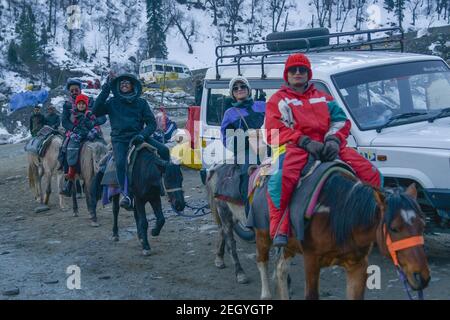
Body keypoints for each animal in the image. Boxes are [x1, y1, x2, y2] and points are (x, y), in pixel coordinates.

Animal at [251, 171, 430, 298]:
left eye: (423, 226)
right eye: (394, 228)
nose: (422, 277)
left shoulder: (358, 265)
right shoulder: (311, 261)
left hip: (289, 245)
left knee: (281, 269)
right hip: (262, 235)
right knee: (262, 261)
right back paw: (265, 295)